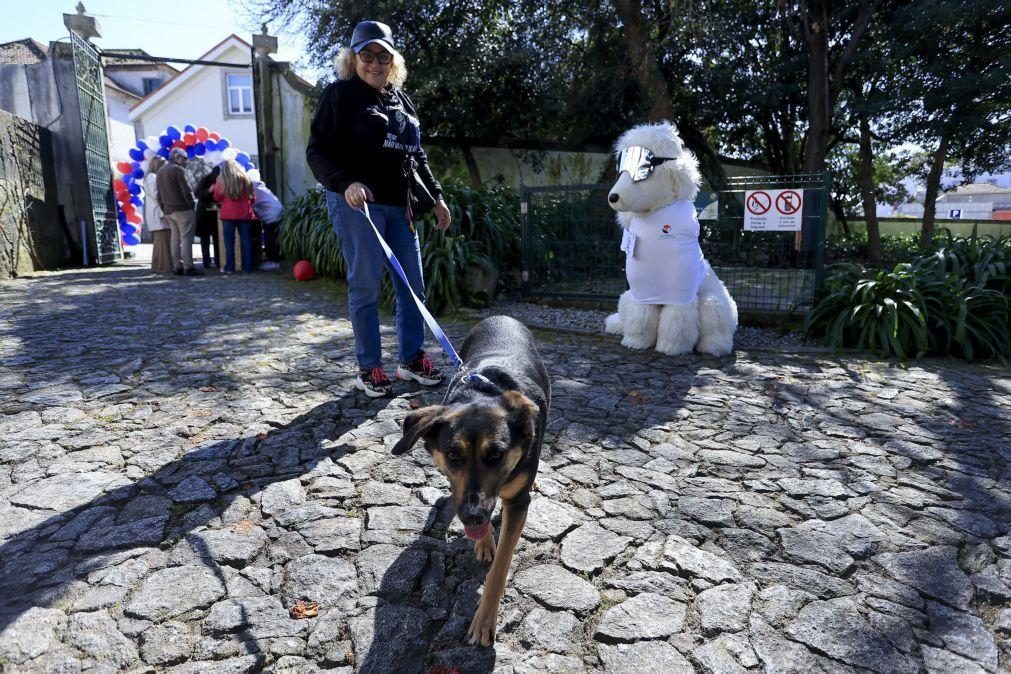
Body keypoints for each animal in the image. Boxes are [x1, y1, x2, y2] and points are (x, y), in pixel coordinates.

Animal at [390, 313, 549, 646]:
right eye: (453, 455)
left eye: (497, 455)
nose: (474, 516)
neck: (484, 394)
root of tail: (501, 316)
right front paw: (484, 541)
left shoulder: (518, 502)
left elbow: (500, 569)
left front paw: (485, 620)